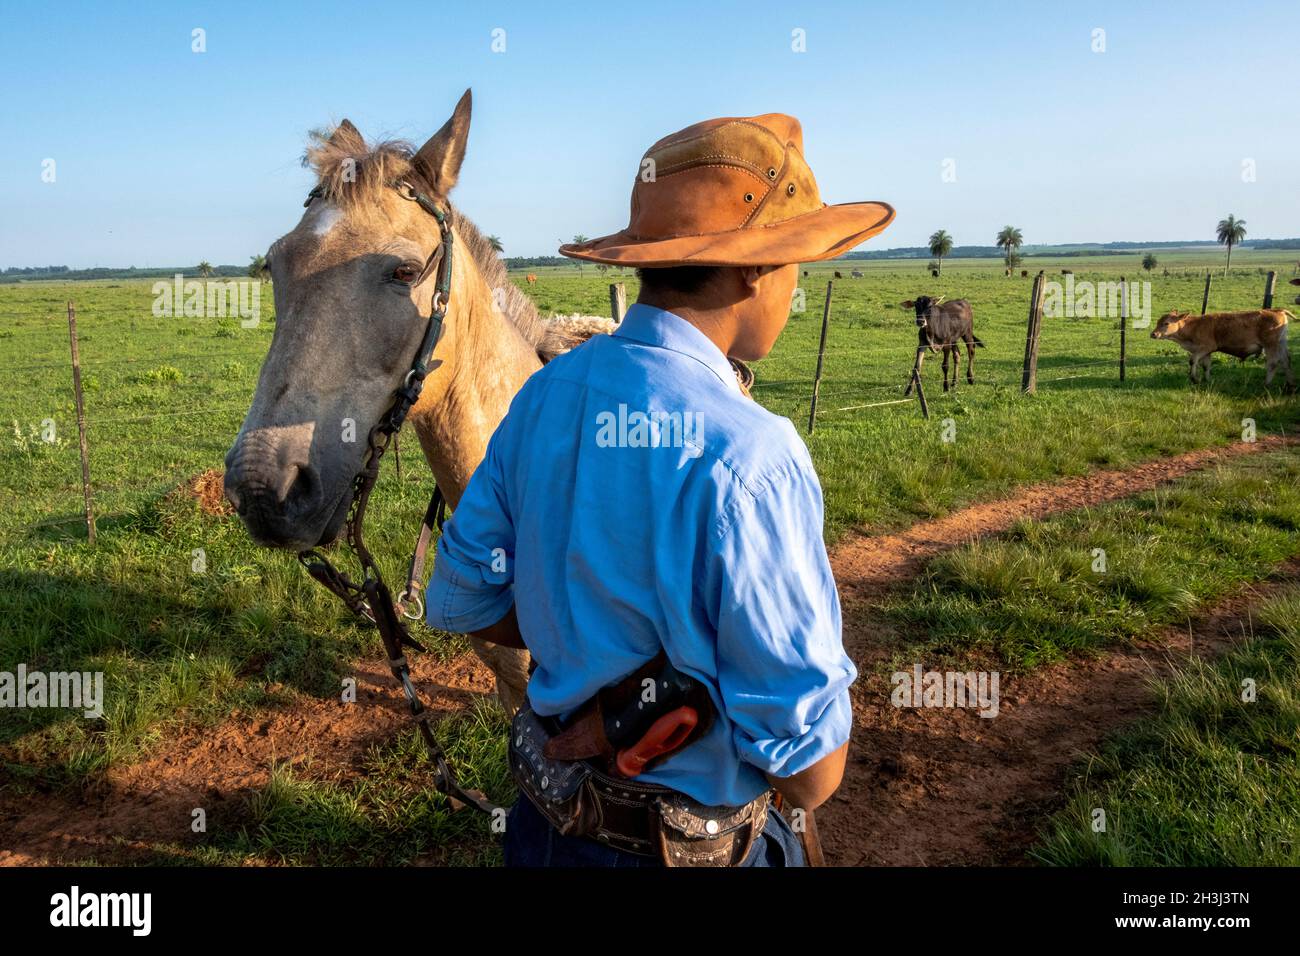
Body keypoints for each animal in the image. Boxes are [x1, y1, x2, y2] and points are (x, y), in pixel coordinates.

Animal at [1154, 310, 1294, 392]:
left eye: (1166, 323)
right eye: (1158, 322)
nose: (1153, 334)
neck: (1194, 326)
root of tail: (1277, 310)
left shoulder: (1206, 347)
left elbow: (1193, 360)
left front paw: (1194, 379)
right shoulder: (1206, 352)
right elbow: (1206, 366)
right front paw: (1207, 380)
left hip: (1270, 345)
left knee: (1273, 363)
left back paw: (1266, 384)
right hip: (1281, 344)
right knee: (1286, 361)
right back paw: (1290, 385)